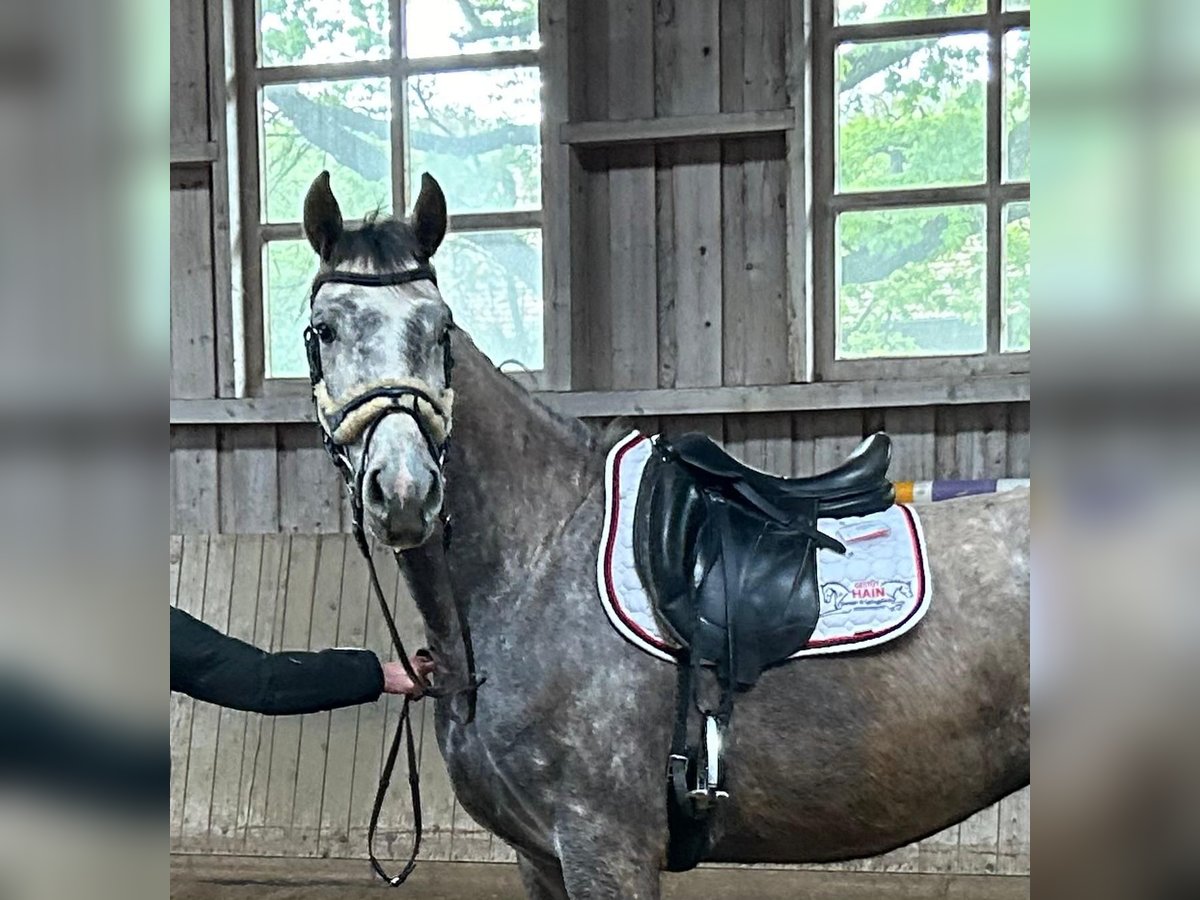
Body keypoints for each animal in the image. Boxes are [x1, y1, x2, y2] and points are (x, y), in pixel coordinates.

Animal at [300, 170, 1032, 900]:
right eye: (323, 330)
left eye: (440, 327)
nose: (404, 489)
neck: (535, 561)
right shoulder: (539, 858)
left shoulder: (605, 848)